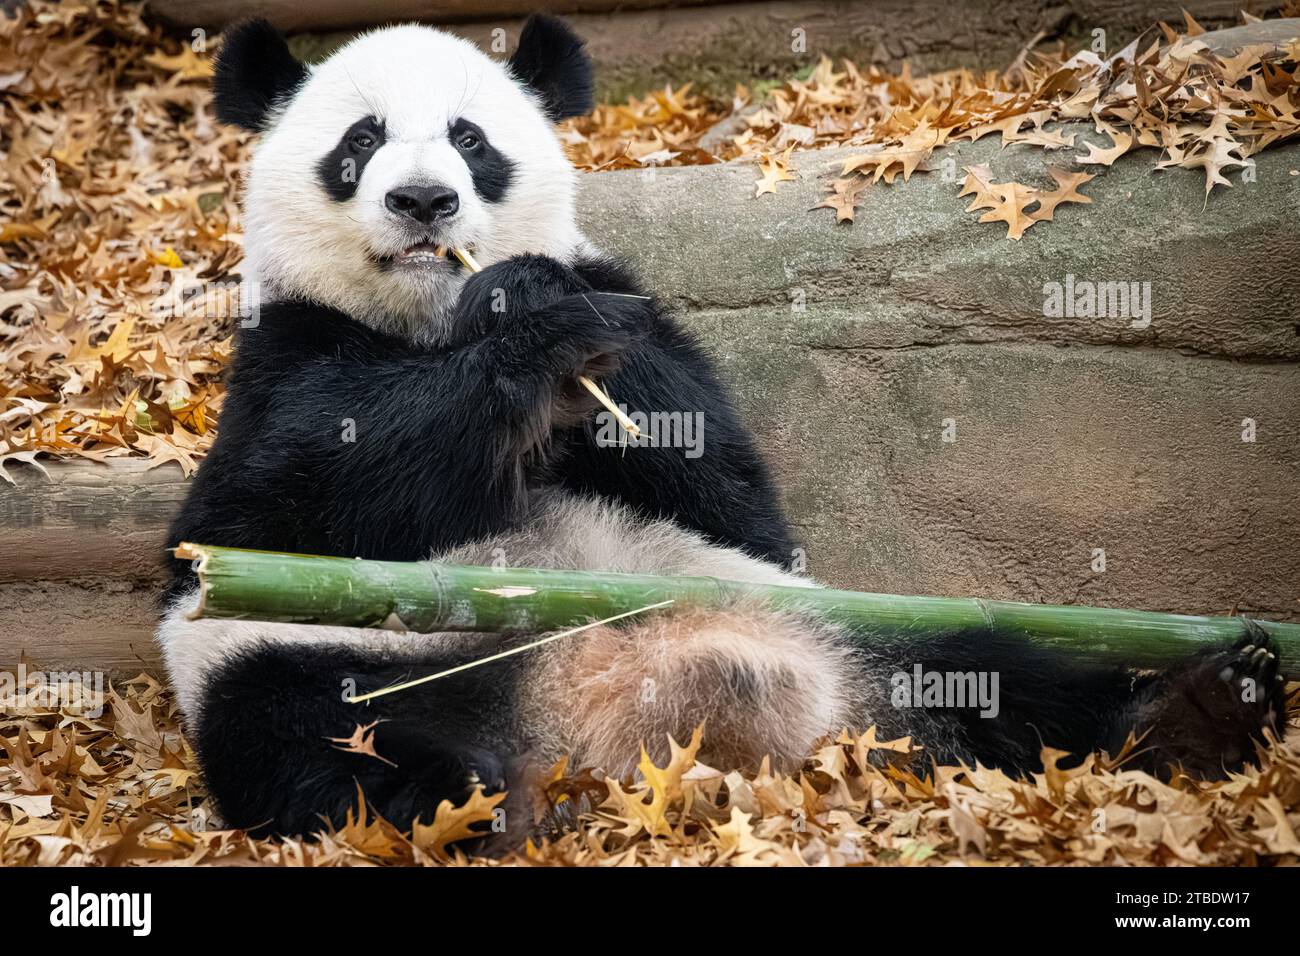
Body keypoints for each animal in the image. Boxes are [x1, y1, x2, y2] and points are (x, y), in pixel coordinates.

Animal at [158, 15, 1288, 841]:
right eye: (361, 143)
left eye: (472, 142)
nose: (426, 201)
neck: (428, 321)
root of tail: (596, 720)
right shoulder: (280, 357)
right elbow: (287, 503)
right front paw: (521, 335)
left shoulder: (648, 330)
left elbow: (732, 490)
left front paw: (538, 302)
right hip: (323, 661)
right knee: (317, 740)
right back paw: (458, 803)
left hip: (845, 621)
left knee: (1009, 674)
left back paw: (1196, 710)